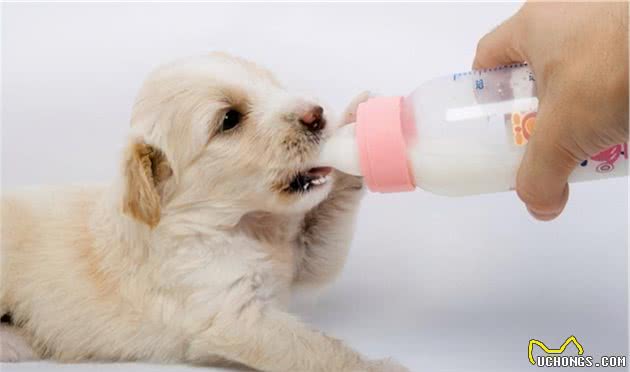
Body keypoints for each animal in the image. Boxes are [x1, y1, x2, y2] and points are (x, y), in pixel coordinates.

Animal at [0, 53, 410, 372]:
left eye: (271, 85)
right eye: (229, 119)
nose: (317, 116)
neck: (246, 224)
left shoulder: (304, 258)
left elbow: (327, 224)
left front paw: (357, 129)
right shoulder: (233, 315)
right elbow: (318, 349)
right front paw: (380, 368)